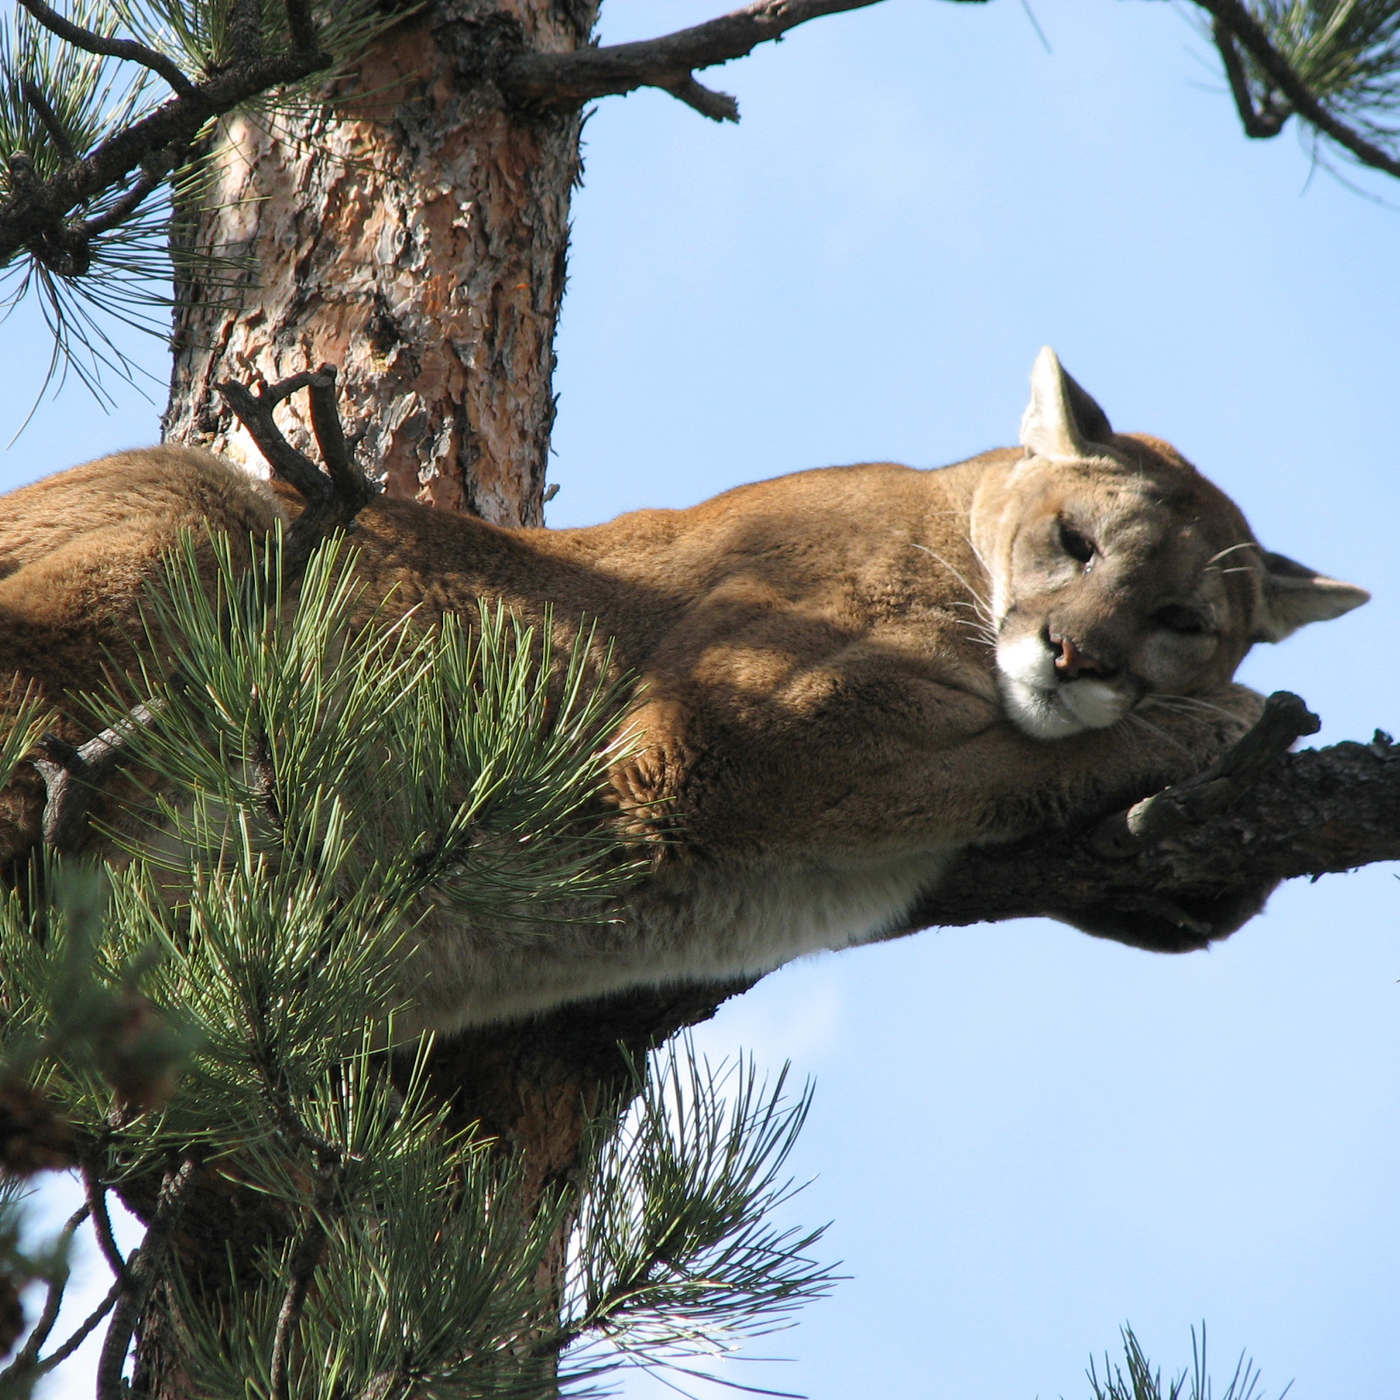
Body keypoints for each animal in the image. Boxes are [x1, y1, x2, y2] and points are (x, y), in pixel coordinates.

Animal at [0, 350, 1360, 1030]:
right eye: (1075, 542)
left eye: (1182, 619)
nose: (1082, 657)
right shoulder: (719, 732)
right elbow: (1026, 754)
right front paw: (1218, 723)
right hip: (202, 513)